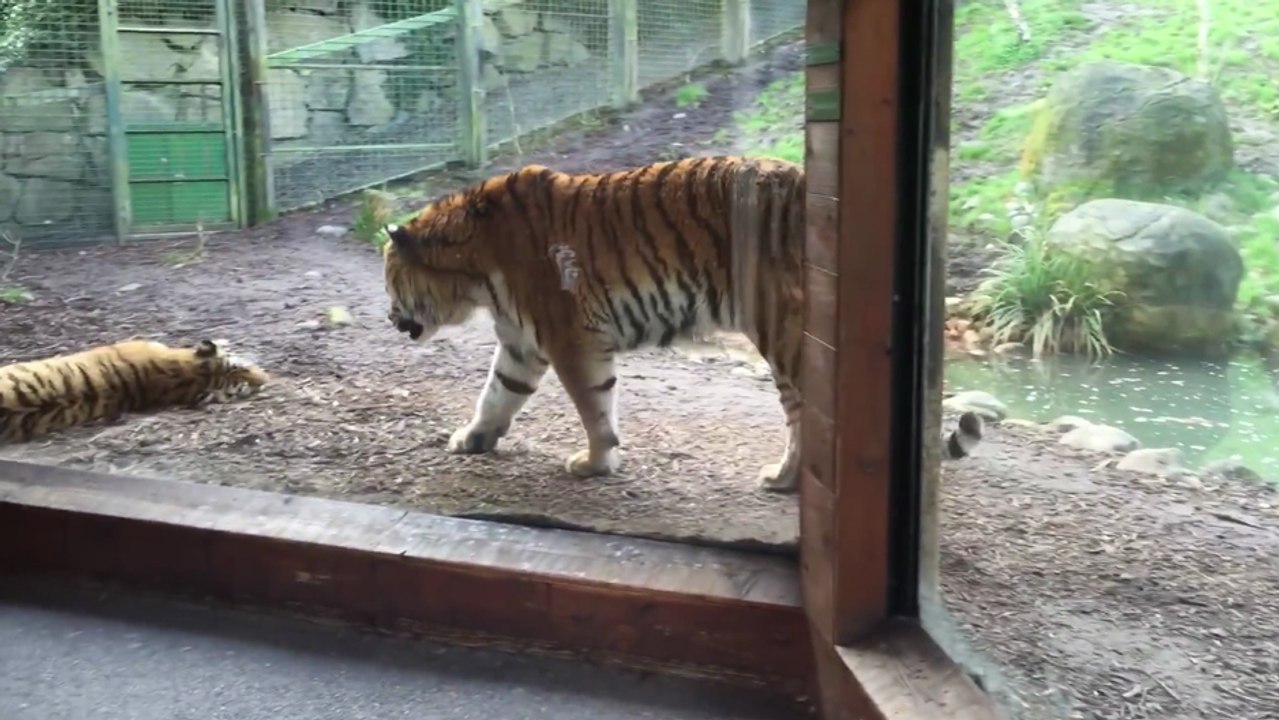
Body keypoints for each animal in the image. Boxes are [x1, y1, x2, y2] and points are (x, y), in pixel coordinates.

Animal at [381, 156, 983, 492]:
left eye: (389, 281)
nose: (388, 318)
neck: (474, 272)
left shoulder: (571, 338)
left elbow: (593, 406)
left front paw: (596, 463)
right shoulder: (521, 345)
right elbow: (496, 394)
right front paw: (473, 438)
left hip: (782, 334)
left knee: (803, 417)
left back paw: (783, 480)